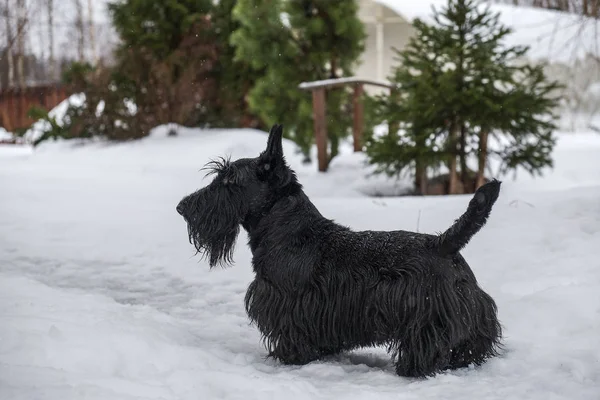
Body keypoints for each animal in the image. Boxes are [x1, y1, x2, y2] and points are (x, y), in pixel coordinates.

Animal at [177, 125, 502, 378]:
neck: (289, 231)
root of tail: (443, 243)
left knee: (430, 343)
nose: (182, 207)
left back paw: (414, 367)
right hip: (471, 307)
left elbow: (291, 332)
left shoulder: (288, 303)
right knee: (474, 339)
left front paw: (289, 357)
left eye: (229, 180)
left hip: (427, 314)